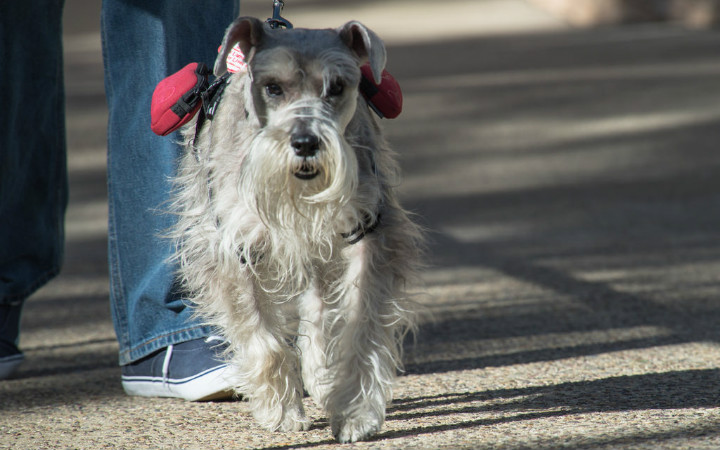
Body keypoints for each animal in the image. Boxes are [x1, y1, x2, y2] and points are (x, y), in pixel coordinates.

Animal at [172, 17, 424, 442]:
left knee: (318, 310)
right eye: (272, 87)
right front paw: (281, 410)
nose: (305, 142)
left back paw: (323, 375)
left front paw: (354, 412)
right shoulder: (235, 248)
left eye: (337, 86)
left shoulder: (368, 235)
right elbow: (261, 335)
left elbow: (361, 324)